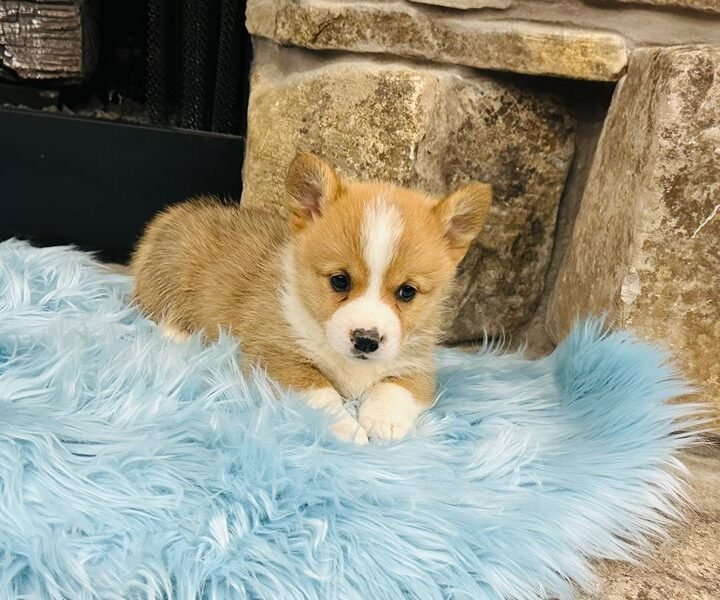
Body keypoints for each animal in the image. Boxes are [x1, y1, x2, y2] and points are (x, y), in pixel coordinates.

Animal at [131, 152, 491, 444]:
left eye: (407, 291)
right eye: (339, 280)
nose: (366, 340)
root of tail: (175, 214)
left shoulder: (417, 366)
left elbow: (394, 389)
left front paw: (384, 423)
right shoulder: (278, 358)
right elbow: (322, 396)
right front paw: (347, 428)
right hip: (173, 272)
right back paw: (177, 335)